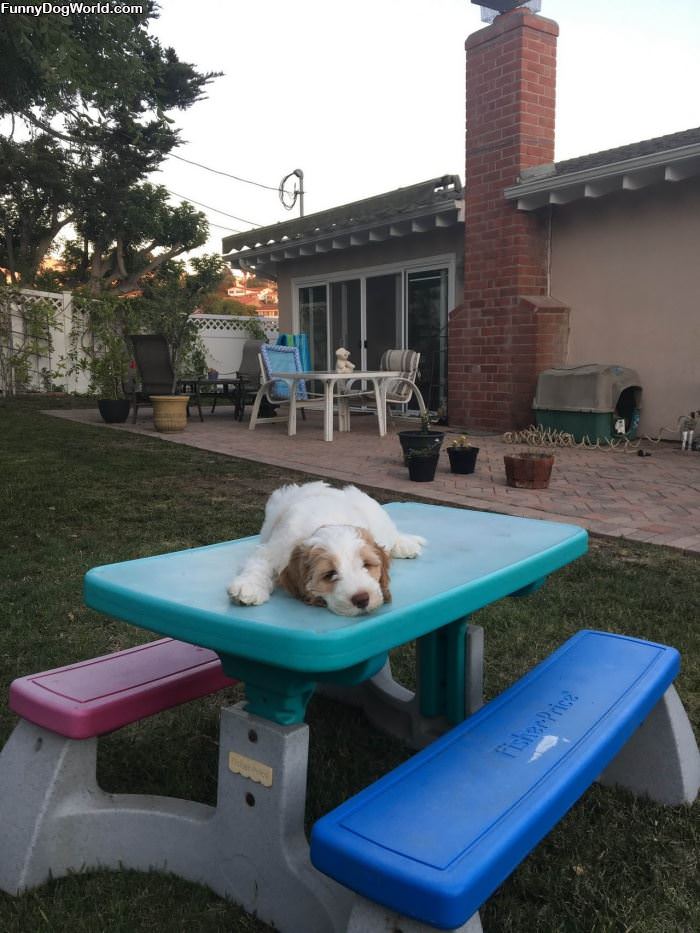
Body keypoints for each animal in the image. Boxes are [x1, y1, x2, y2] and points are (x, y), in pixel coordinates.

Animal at [230, 480, 424, 620]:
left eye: (366, 565)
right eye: (330, 574)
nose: (362, 599)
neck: (327, 522)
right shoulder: (274, 549)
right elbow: (258, 564)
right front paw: (248, 587)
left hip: (376, 514)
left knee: (391, 533)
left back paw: (405, 544)